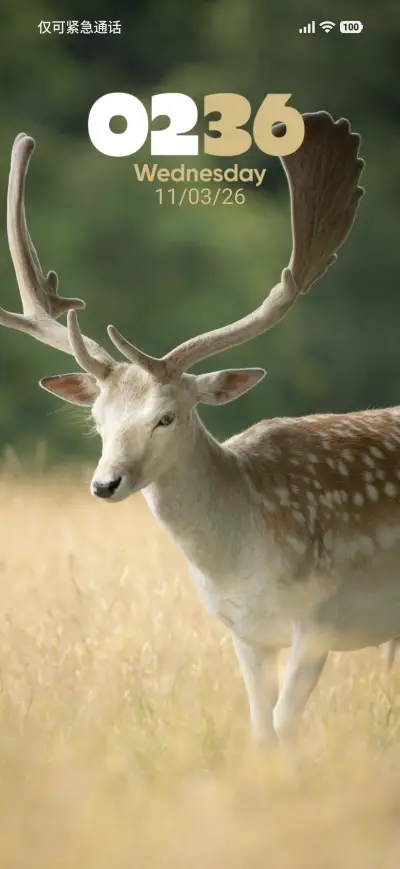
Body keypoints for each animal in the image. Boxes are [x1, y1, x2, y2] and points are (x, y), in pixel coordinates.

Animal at [2, 113, 399, 748]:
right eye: (97, 419)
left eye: (167, 415)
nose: (105, 484)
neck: (243, 559)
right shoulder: (244, 632)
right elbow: (261, 730)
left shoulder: (320, 617)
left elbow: (285, 728)